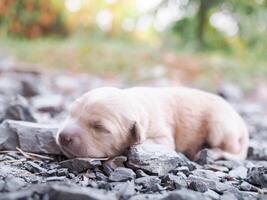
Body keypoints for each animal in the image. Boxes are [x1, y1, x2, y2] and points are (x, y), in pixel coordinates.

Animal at [55, 87, 250, 161]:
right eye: (71, 114)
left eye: (99, 128)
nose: (63, 137)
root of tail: (242, 123)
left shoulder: (162, 136)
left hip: (219, 125)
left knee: (232, 148)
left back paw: (211, 152)